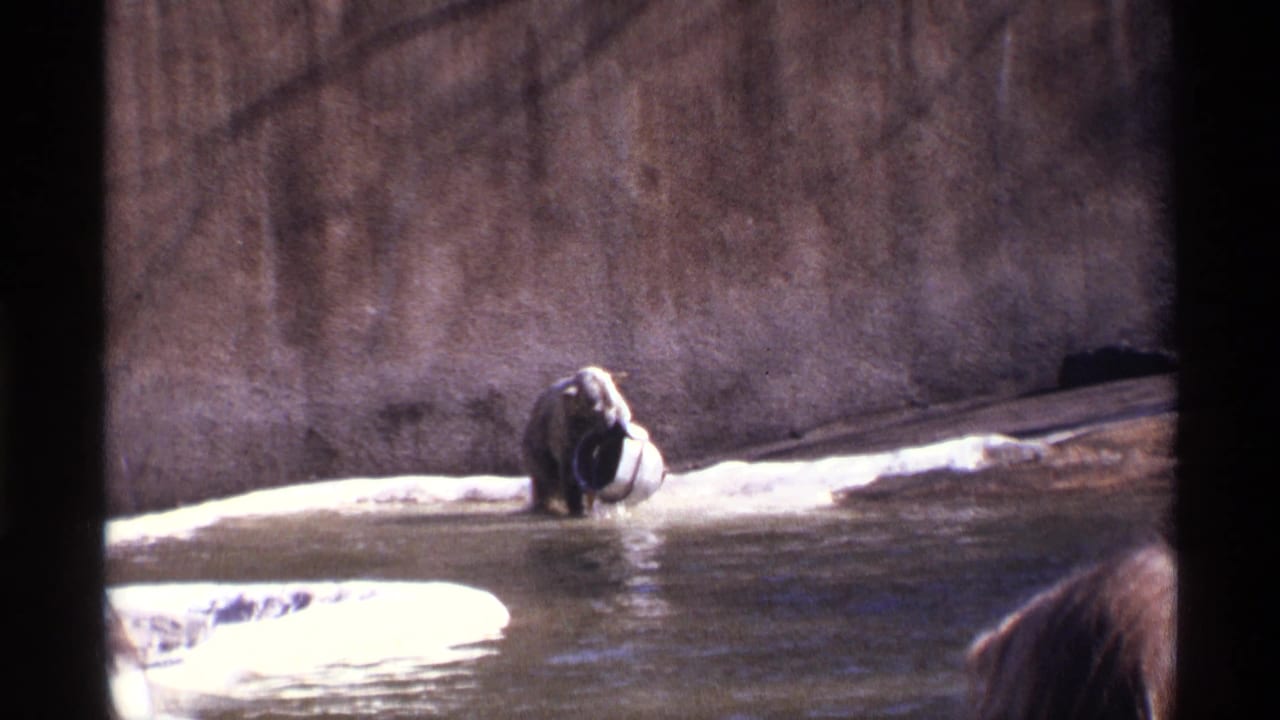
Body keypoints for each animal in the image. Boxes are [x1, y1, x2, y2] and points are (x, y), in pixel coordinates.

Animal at [522, 366, 632, 516]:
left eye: (612, 403)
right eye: (597, 409)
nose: (611, 423)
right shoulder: (567, 428)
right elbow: (571, 466)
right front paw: (578, 507)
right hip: (536, 443)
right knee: (545, 475)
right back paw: (545, 503)